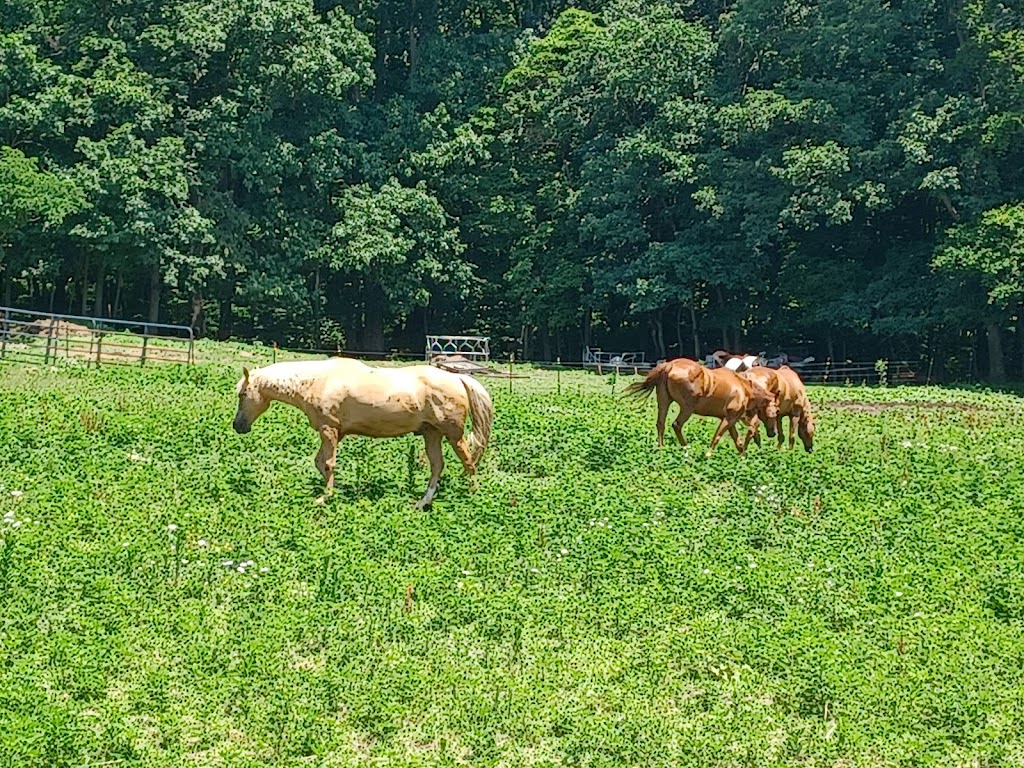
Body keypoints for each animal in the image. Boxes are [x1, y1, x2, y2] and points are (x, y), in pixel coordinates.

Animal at [236, 358, 499, 507]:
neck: (317, 381)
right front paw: (338, 489)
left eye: (242, 394)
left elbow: (328, 463)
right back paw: (422, 503)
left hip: (453, 435)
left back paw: (472, 496)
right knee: (437, 466)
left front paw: (324, 498)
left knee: (468, 462)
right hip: (431, 434)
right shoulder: (334, 432)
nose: (238, 426)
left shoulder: (329, 429)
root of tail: (459, 378)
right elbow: (321, 462)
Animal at [622, 358, 774, 454]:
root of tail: (669, 365)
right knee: (676, 425)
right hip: (687, 408)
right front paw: (708, 455)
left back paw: (661, 448)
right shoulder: (730, 418)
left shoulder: (729, 419)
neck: (743, 388)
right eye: (773, 413)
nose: (772, 434)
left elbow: (738, 442)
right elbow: (717, 437)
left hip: (664, 401)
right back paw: (686, 449)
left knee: (660, 424)